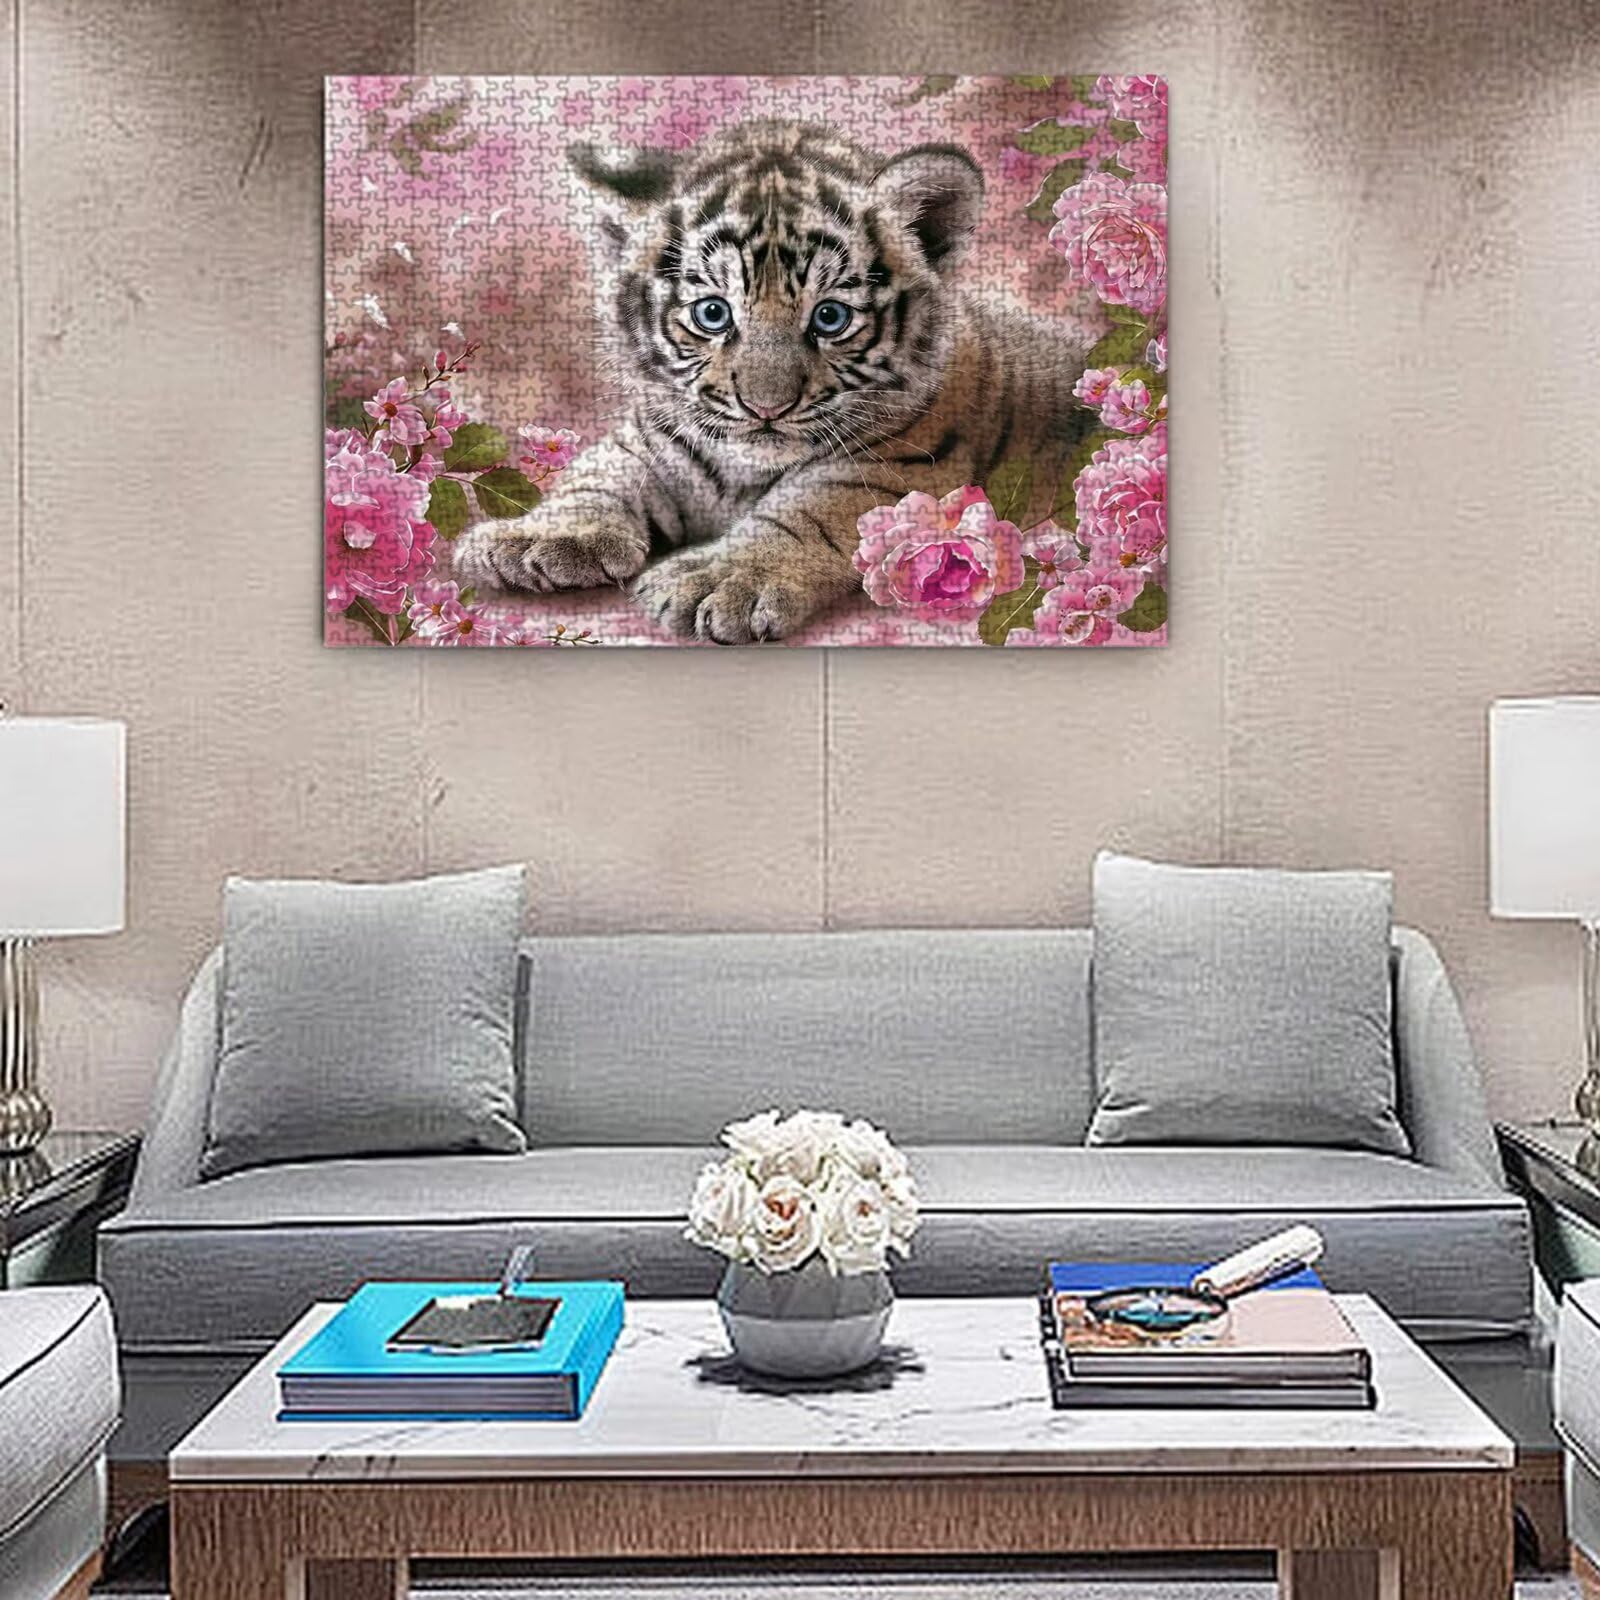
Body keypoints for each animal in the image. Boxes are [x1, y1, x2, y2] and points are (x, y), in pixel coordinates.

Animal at [454, 118, 1095, 643]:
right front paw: (534, 539)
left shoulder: (896, 468)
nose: (766, 407)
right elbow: (595, 476)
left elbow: (802, 512)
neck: (740, 473)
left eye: (830, 318)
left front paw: (720, 579)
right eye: (712, 313)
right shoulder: (647, 438)